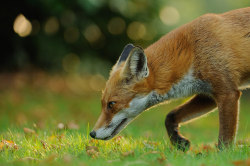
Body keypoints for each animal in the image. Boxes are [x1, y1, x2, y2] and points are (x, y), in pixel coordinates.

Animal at [91, 7, 250, 150]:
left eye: (111, 104)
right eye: (102, 103)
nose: (92, 134)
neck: (192, 51)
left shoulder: (227, 94)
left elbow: (225, 140)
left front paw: (222, 156)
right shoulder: (208, 96)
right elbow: (170, 116)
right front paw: (179, 142)